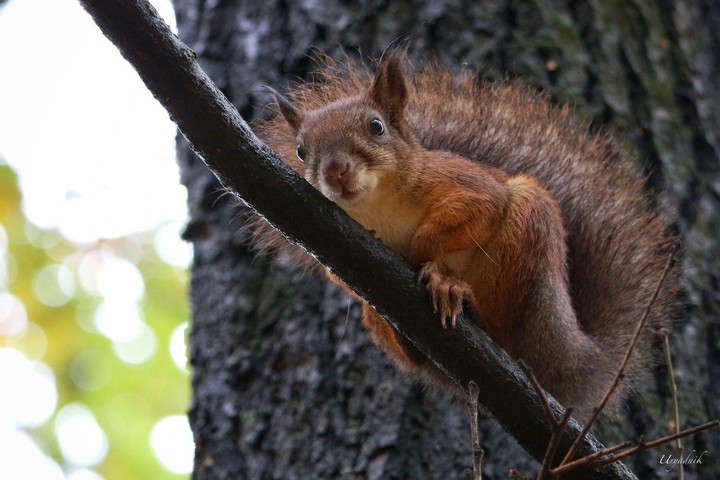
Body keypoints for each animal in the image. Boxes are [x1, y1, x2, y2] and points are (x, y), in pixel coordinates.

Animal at [251, 46, 679, 422]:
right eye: (302, 151)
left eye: (376, 127)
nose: (336, 170)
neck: (378, 206)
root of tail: (571, 358)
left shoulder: (465, 185)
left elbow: (473, 213)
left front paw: (427, 262)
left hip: (527, 242)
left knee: (504, 329)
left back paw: (461, 297)